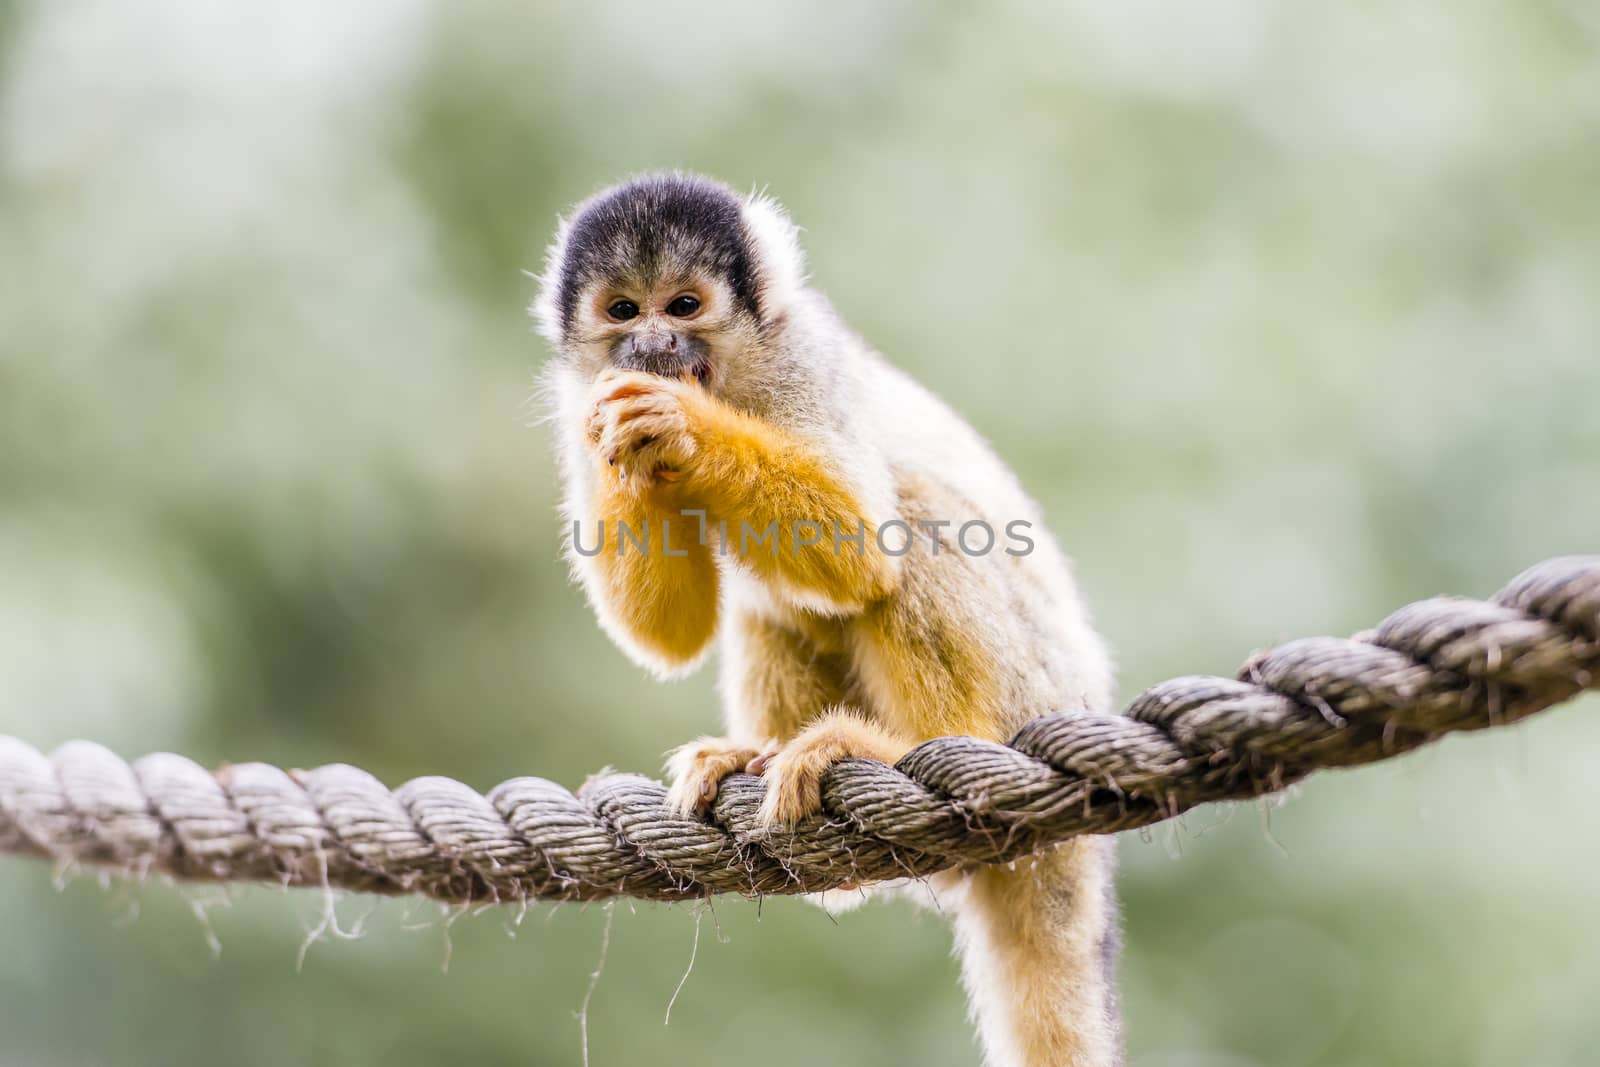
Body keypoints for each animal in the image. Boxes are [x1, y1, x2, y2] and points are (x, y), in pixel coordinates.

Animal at [531, 171, 1120, 1062]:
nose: (654, 348)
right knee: (770, 603)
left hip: (1036, 686)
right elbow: (668, 633)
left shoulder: (800, 354)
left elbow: (861, 550)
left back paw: (915, 744)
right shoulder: (579, 400)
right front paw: (638, 431)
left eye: (684, 305)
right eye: (625, 312)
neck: (729, 375)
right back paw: (758, 756)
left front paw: (676, 422)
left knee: (912, 515)